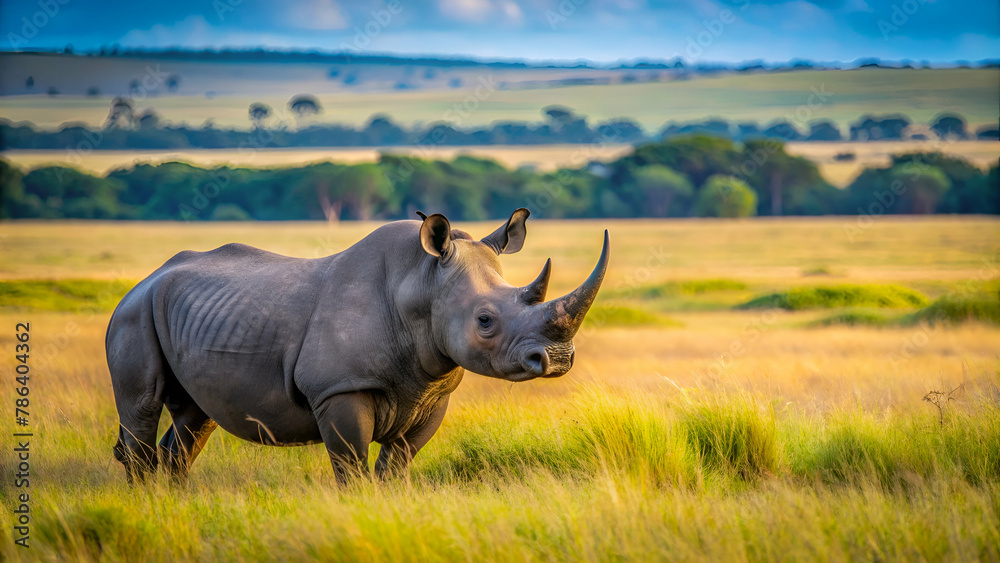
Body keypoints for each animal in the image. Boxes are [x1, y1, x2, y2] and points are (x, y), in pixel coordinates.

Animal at [106, 209, 609, 483]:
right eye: (485, 321)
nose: (557, 360)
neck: (418, 285)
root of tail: (143, 280)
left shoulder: (430, 393)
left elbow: (396, 466)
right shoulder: (339, 388)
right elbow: (351, 467)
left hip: (186, 315)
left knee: (195, 418)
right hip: (133, 314)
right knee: (143, 407)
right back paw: (151, 505)